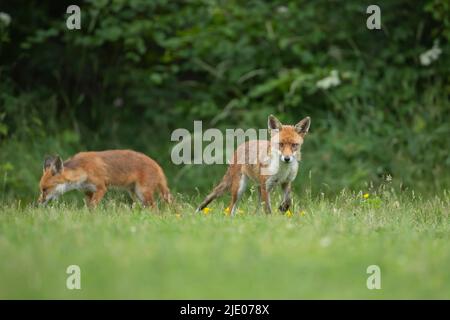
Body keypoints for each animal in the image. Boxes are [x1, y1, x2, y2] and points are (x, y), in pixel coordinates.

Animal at [37, 149, 171, 206]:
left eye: (45, 189)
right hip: (136, 194)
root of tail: (157, 165)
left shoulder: (101, 188)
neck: (83, 169)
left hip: (143, 193)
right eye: (41, 189)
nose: (38, 203)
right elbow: (88, 207)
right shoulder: (88, 192)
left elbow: (93, 206)